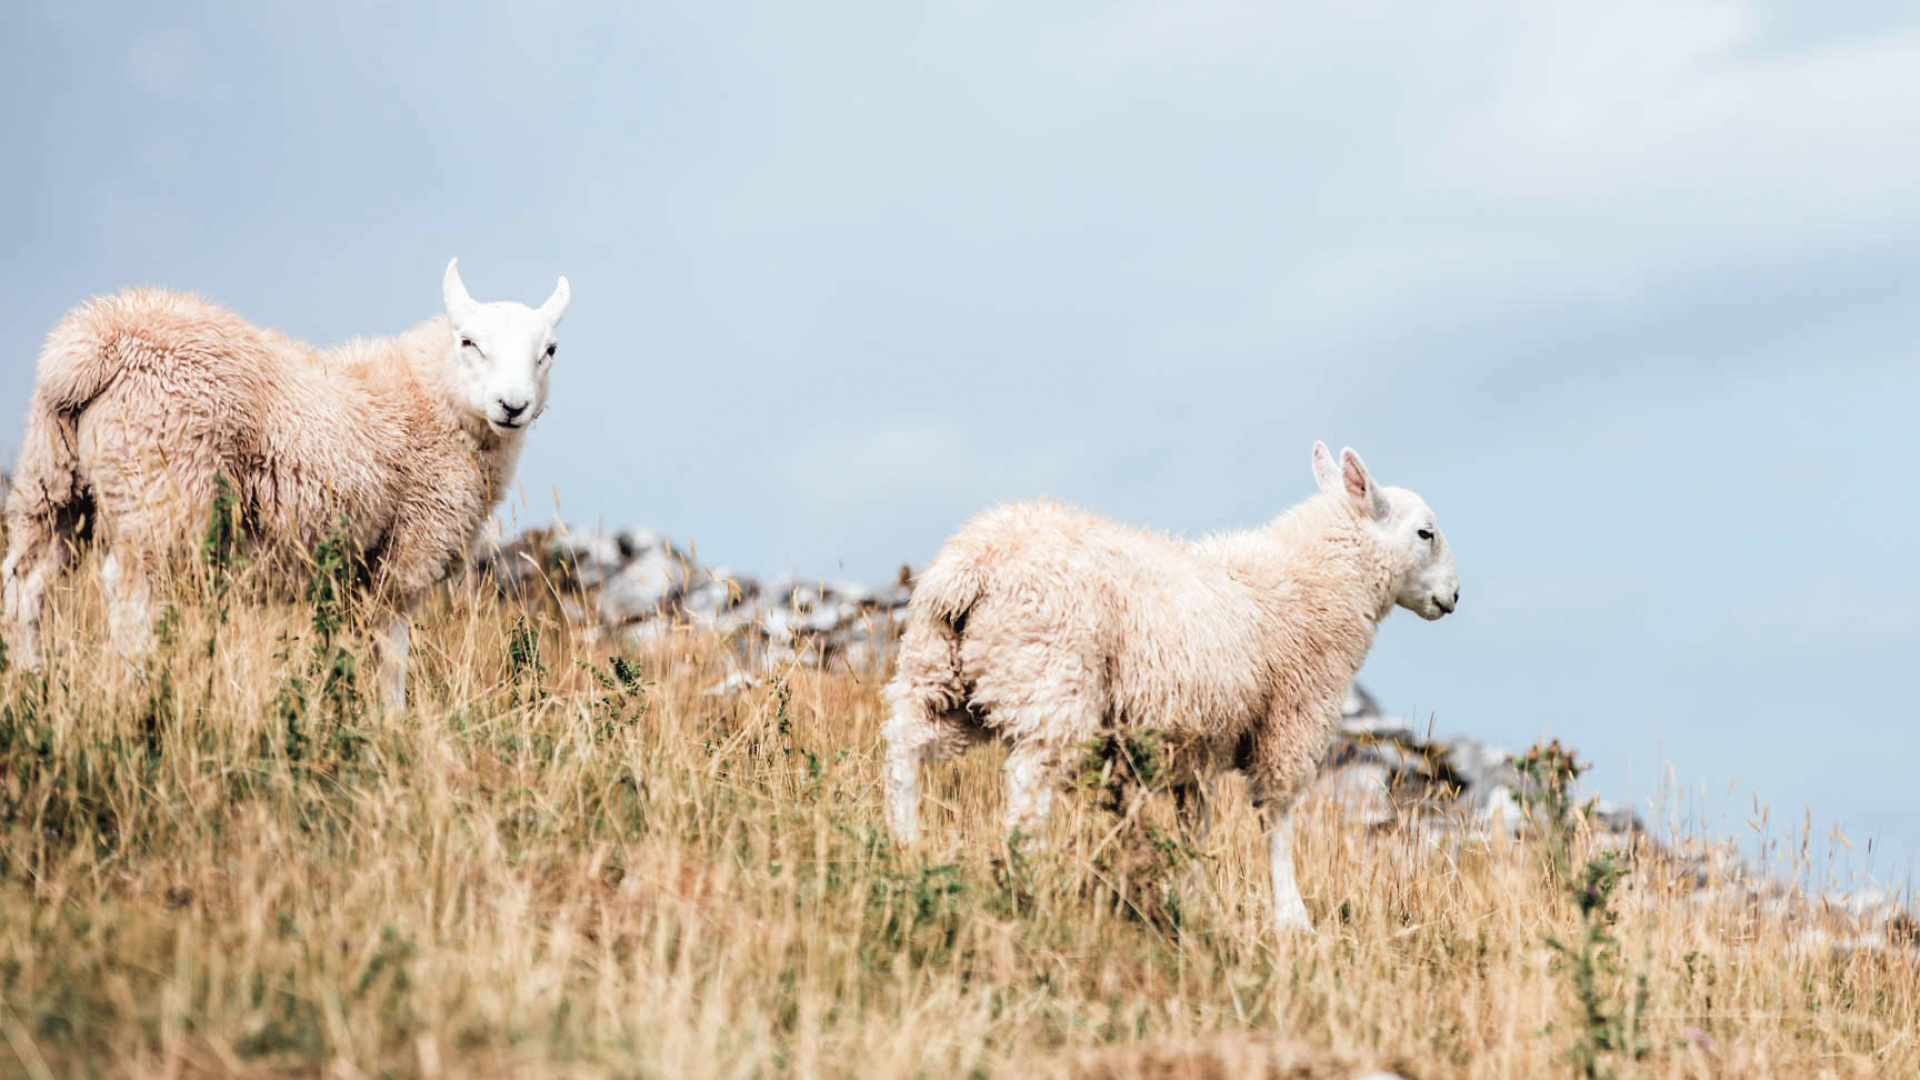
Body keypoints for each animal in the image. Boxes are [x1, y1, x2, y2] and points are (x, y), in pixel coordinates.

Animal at [1, 255, 568, 703]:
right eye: (469, 342)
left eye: (550, 350)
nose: (512, 406)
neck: (433, 400)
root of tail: (95, 346)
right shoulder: (406, 555)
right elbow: (391, 656)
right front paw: (391, 723)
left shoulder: (358, 570)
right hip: (160, 486)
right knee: (128, 594)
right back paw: (137, 691)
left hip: (54, 479)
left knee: (27, 581)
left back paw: (29, 682)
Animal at [879, 441, 1451, 930]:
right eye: (1426, 533)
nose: (1454, 596)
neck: (1312, 581)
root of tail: (973, 566)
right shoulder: (1291, 721)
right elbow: (1277, 823)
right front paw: (1293, 918)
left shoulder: (1196, 745)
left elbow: (1194, 824)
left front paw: (1193, 899)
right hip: (1051, 680)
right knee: (1025, 784)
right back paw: (1031, 880)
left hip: (941, 673)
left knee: (905, 750)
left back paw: (905, 844)